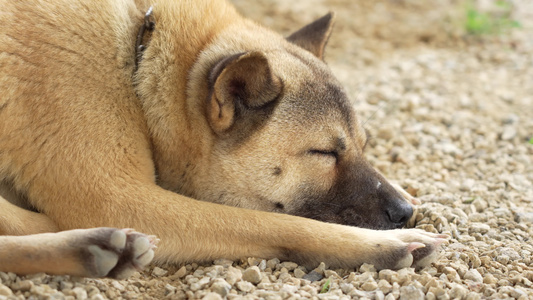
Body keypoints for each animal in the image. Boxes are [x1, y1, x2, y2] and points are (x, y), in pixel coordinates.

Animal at [0, 0, 444, 278]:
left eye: (363, 145)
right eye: (323, 153)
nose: (405, 212)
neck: (137, 56)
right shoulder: (118, 198)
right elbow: (272, 223)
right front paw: (382, 244)